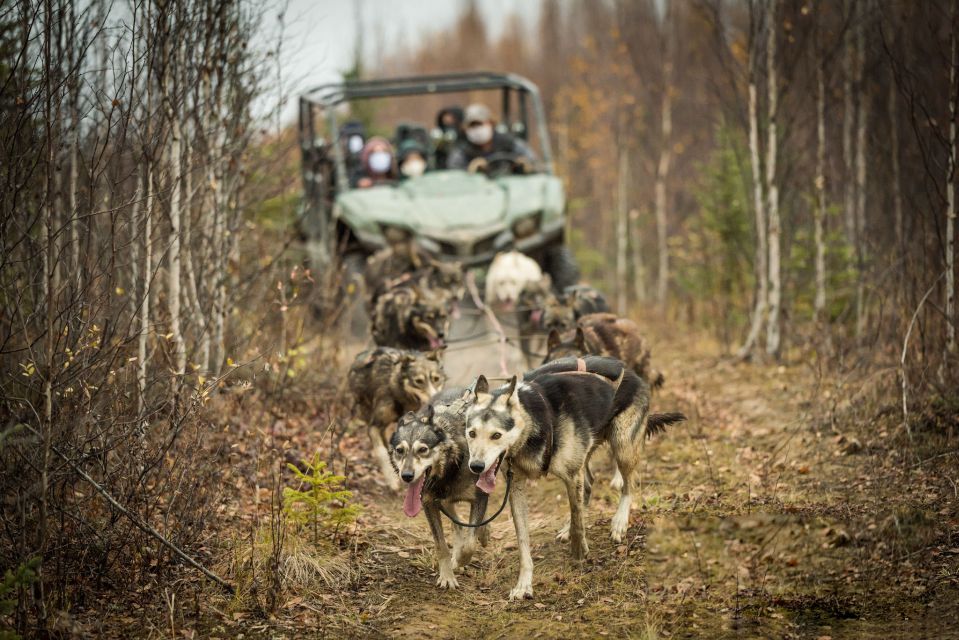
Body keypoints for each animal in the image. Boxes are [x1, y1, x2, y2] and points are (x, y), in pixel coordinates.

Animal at [390, 384, 492, 592]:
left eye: (423, 449)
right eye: (399, 451)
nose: (407, 476)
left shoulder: (479, 496)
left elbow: (471, 543)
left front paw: (462, 558)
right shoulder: (428, 503)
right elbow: (441, 546)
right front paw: (447, 576)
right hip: (442, 501)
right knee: (456, 522)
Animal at [464, 356, 684, 600]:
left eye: (496, 435)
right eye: (472, 433)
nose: (476, 466)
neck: (534, 421)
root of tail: (632, 372)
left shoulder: (571, 475)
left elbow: (578, 518)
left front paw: (579, 552)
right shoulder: (517, 487)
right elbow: (523, 541)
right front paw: (524, 584)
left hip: (622, 445)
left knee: (628, 484)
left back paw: (619, 522)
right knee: (587, 486)